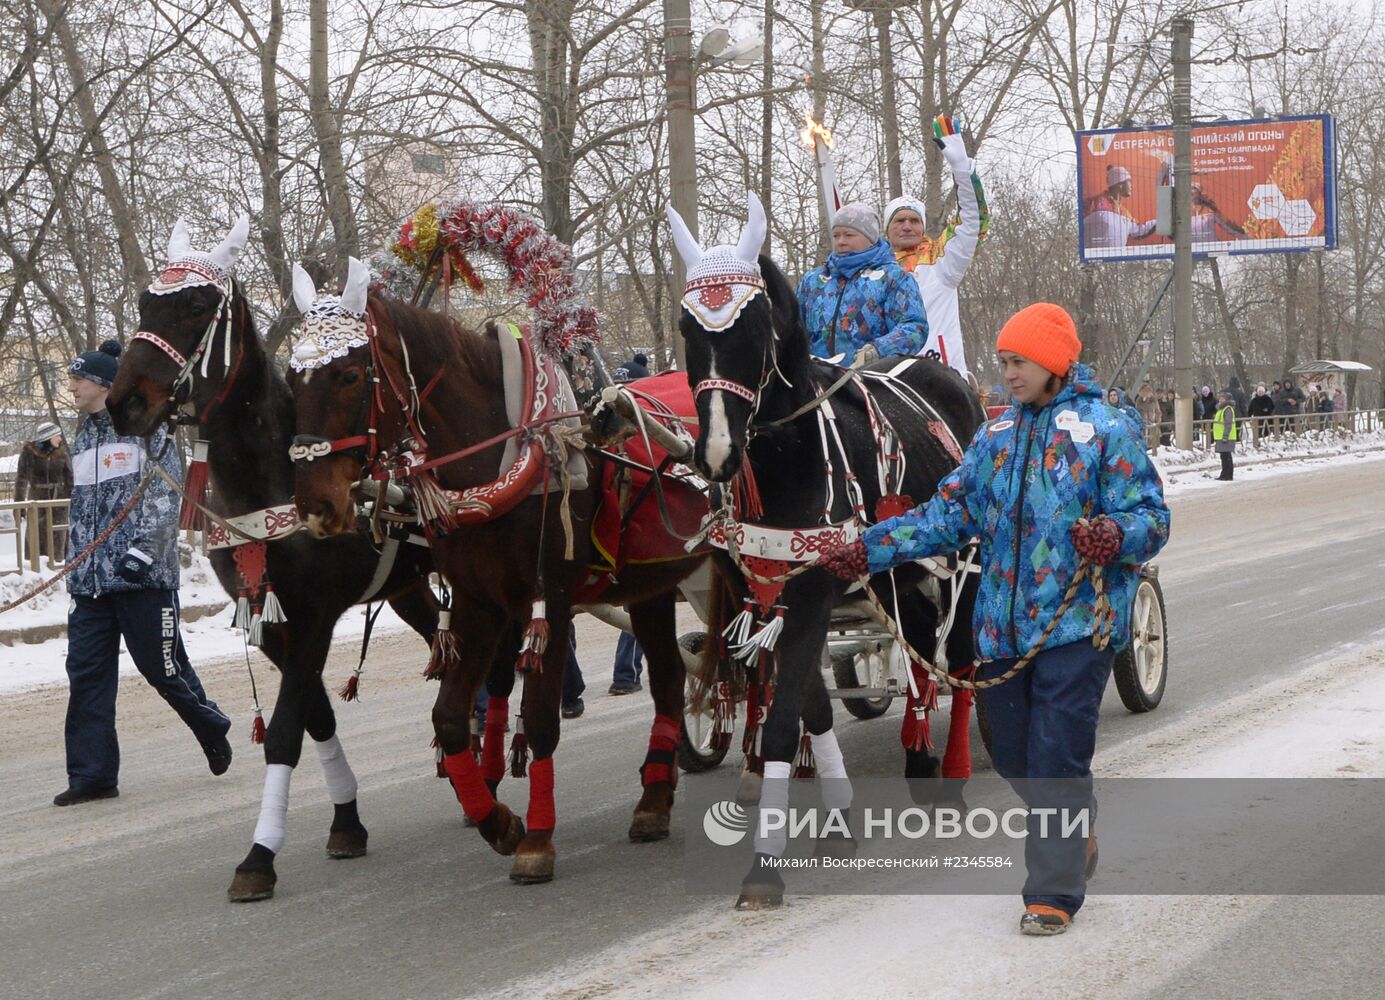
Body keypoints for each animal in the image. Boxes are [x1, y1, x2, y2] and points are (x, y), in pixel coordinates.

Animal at [109, 214, 465, 897]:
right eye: (144, 302)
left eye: (197, 306)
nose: (124, 403)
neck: (270, 481)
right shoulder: (272, 622)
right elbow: (315, 720)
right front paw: (346, 820)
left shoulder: (315, 615)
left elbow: (282, 733)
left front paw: (258, 855)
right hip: (408, 589)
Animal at [288, 259, 709, 880]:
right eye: (290, 381)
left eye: (347, 374)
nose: (316, 504)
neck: (501, 454)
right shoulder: (477, 600)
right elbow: (447, 717)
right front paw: (498, 822)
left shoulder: (548, 599)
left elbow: (539, 717)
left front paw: (536, 839)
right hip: (651, 583)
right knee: (673, 677)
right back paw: (654, 800)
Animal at [667, 192, 986, 903]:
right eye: (686, 328)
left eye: (756, 326)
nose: (717, 452)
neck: (789, 458)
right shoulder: (767, 592)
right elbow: (810, 706)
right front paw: (837, 820)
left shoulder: (812, 589)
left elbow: (785, 719)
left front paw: (765, 866)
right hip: (901, 577)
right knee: (919, 653)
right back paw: (919, 759)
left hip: (965, 564)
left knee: (964, 660)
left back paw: (952, 773)